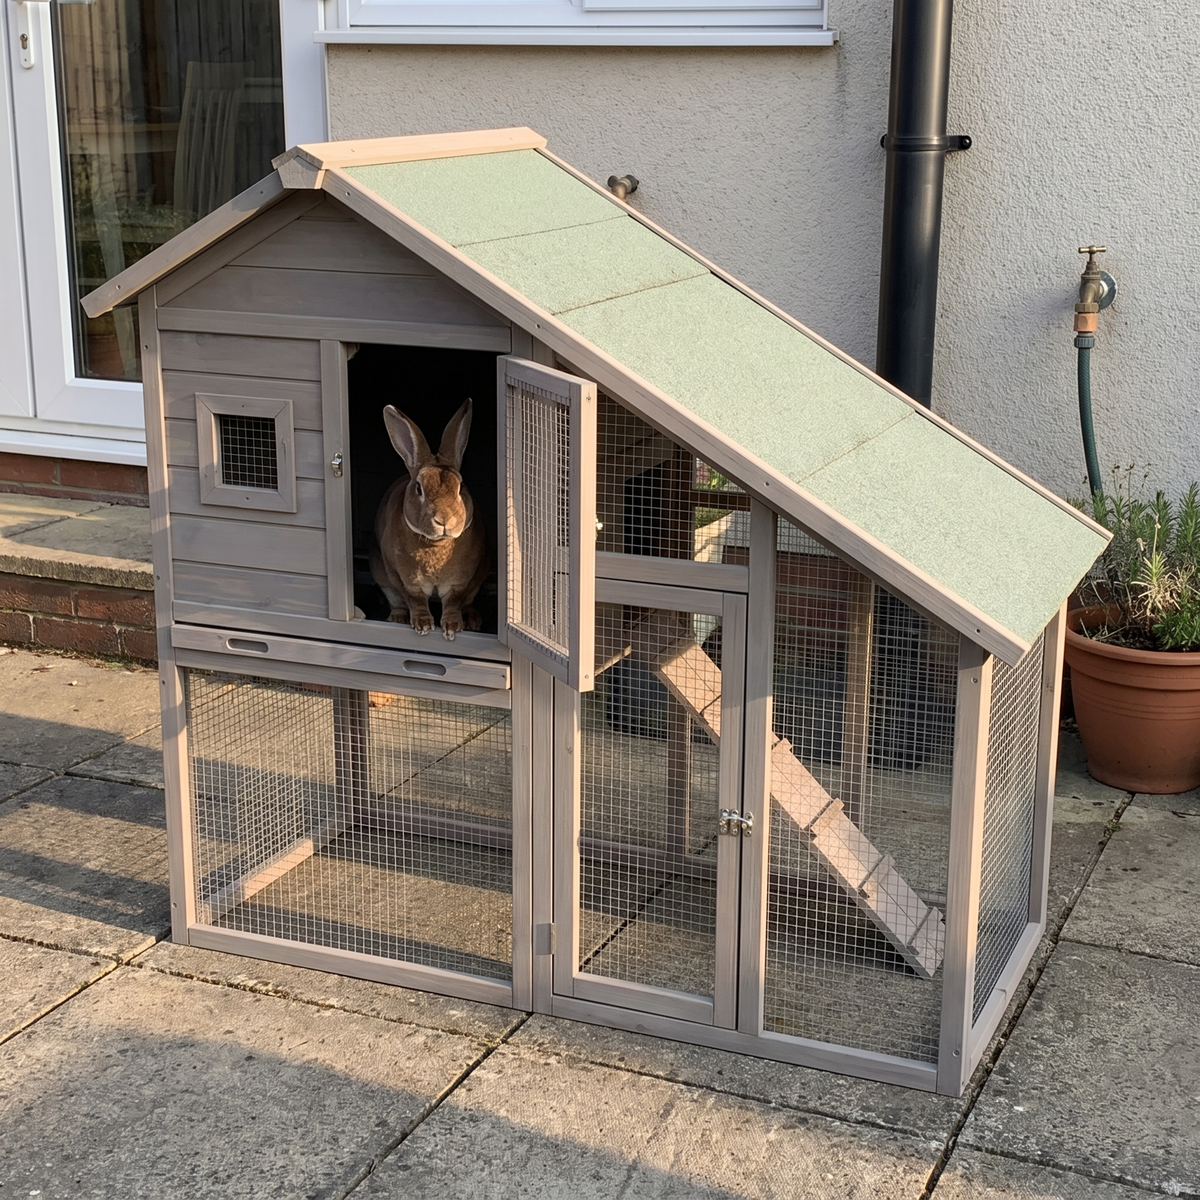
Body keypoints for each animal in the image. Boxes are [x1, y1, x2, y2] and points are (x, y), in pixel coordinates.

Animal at [369, 399, 489, 640]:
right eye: (419, 488)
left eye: (461, 486)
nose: (443, 520)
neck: (437, 544)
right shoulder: (406, 581)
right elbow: (415, 600)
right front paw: (423, 625)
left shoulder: (459, 583)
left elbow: (453, 602)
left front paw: (452, 628)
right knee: (397, 603)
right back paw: (398, 618)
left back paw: (472, 620)